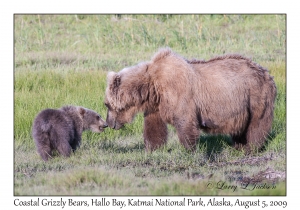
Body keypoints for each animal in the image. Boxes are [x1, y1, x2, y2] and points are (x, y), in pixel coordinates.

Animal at [105, 47, 276, 153]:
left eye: (106, 104)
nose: (108, 123)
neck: (151, 86)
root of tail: (267, 73)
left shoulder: (179, 93)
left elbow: (184, 121)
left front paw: (189, 150)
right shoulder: (156, 103)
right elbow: (154, 127)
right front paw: (153, 149)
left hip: (255, 96)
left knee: (256, 124)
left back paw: (251, 147)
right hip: (241, 106)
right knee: (241, 127)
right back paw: (238, 145)